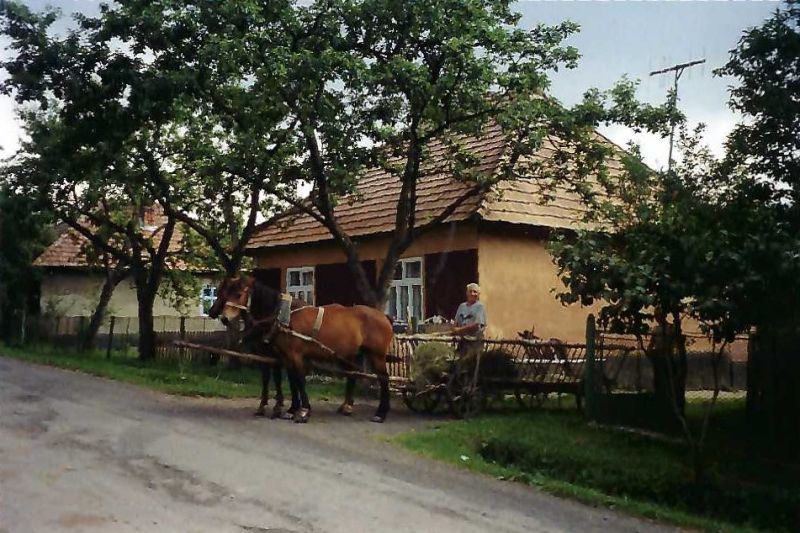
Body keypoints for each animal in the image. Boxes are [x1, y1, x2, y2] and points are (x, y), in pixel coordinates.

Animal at [206, 276, 394, 422]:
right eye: (224, 293)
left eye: (238, 294)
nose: (223, 317)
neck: (283, 317)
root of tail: (383, 316)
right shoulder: (284, 356)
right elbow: (292, 381)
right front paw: (290, 409)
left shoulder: (293, 355)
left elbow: (299, 381)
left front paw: (303, 411)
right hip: (351, 354)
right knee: (352, 376)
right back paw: (346, 407)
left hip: (377, 355)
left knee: (384, 378)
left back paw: (381, 413)